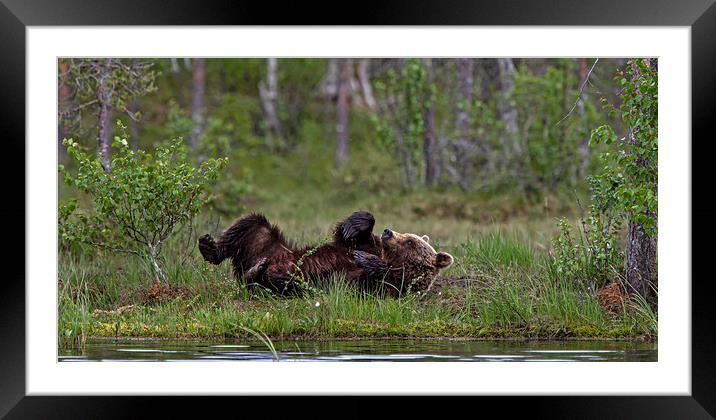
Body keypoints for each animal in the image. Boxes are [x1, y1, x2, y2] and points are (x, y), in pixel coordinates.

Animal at [197, 210, 454, 296]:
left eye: (410, 241)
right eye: (407, 235)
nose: (388, 231)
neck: (385, 255)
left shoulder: (385, 287)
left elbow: (371, 280)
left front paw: (366, 261)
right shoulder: (365, 244)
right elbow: (347, 236)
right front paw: (356, 226)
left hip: (294, 277)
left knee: (279, 282)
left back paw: (258, 271)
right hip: (267, 244)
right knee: (252, 224)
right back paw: (209, 246)